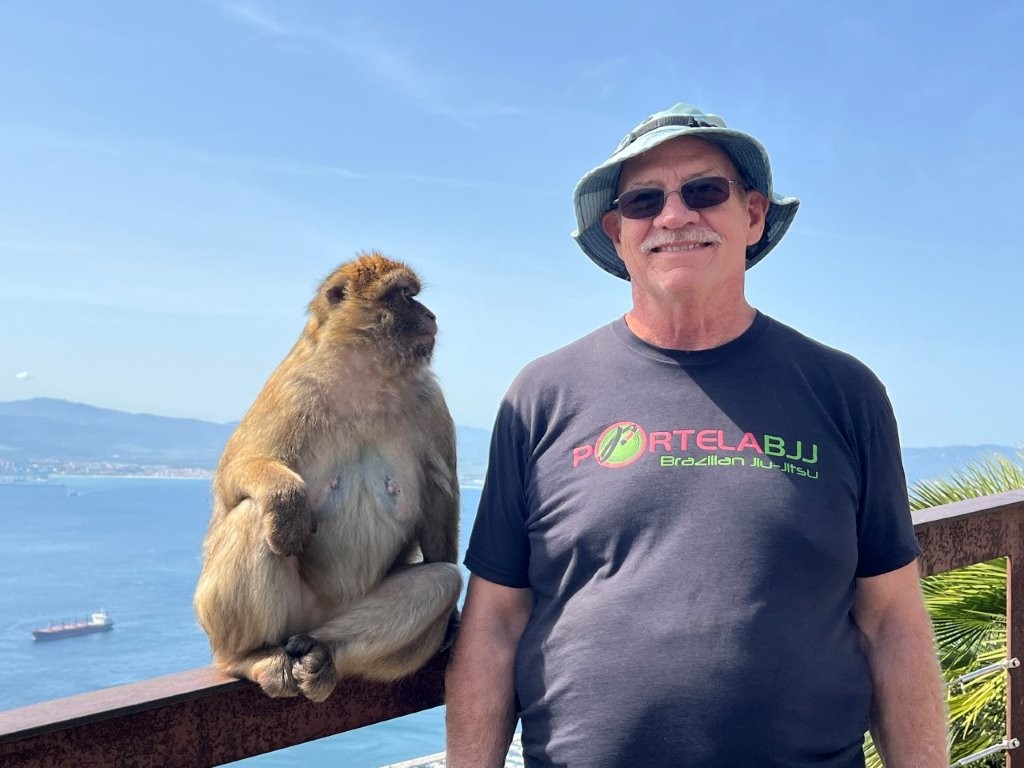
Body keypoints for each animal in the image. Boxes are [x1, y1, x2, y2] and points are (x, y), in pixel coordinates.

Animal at [193, 251, 462, 703]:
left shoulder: (431, 404)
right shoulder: (292, 390)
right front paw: (287, 501)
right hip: (275, 614)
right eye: (402, 295)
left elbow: (440, 506)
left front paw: (456, 620)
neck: (366, 377)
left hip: (336, 617)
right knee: (253, 515)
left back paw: (325, 652)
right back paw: (246, 656)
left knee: (441, 581)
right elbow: (233, 476)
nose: (431, 314)